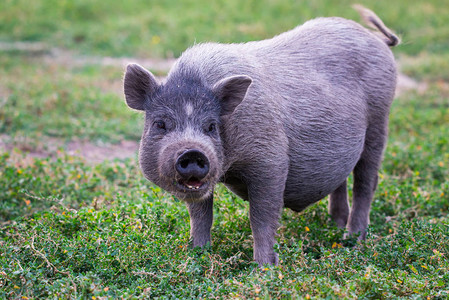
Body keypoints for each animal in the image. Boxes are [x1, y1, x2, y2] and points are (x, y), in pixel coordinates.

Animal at [123, 6, 400, 264]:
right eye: (160, 124)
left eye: (211, 126)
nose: (192, 151)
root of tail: (376, 39)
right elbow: (200, 214)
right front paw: (197, 255)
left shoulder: (271, 160)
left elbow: (261, 217)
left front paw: (263, 269)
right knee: (341, 180)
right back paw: (335, 226)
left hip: (379, 121)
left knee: (366, 182)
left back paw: (352, 240)